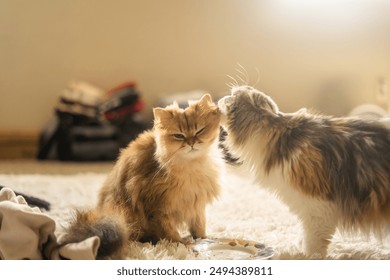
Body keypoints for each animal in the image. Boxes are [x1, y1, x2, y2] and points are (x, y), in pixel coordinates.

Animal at [58, 93, 222, 258]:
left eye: (200, 131)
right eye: (179, 136)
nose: (191, 143)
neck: (192, 167)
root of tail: (106, 211)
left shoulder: (196, 204)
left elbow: (199, 227)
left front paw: (202, 238)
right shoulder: (158, 208)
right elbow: (170, 233)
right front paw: (184, 245)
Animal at [218, 85, 390, 256]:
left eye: (232, 95)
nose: (219, 98)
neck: (278, 136)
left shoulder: (318, 206)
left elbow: (313, 240)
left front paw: (308, 255)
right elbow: (304, 232)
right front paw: (299, 246)